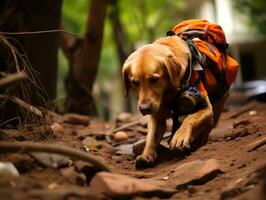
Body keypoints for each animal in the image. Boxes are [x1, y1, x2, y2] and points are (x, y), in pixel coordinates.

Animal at [121, 34, 236, 167]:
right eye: (134, 82)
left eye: (154, 79)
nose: (144, 109)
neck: (169, 93)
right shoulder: (156, 117)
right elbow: (151, 137)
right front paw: (146, 155)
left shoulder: (205, 108)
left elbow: (190, 119)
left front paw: (180, 137)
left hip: (217, 105)